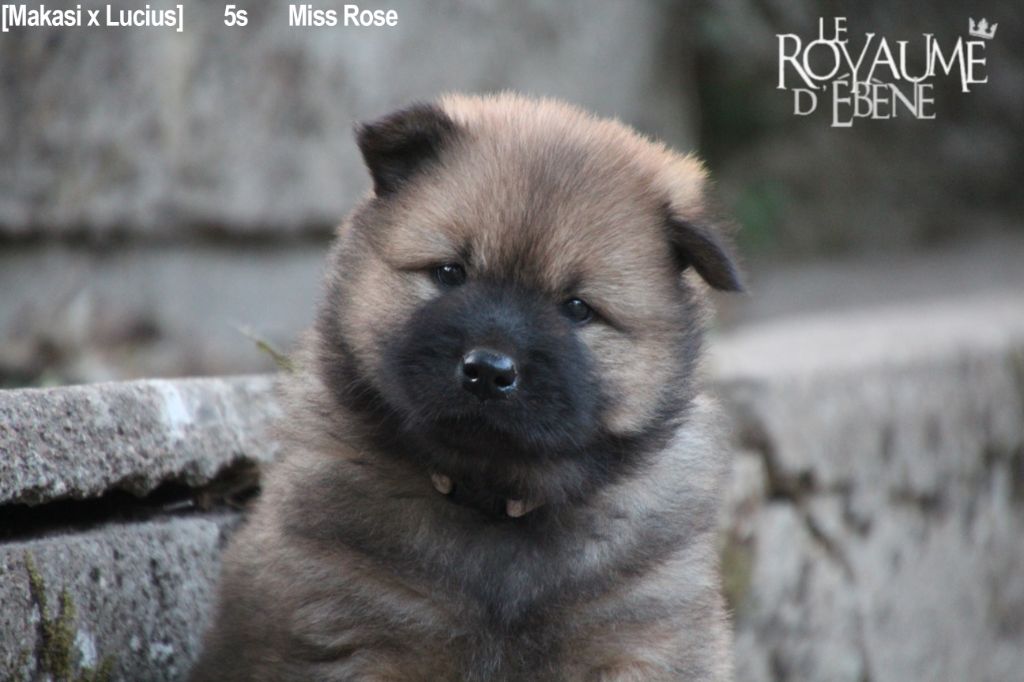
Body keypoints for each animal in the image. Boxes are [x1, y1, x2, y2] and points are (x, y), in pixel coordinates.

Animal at [190, 93, 742, 681]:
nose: (489, 371)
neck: (492, 503)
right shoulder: (356, 633)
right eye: (450, 273)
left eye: (576, 308)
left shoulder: (643, 639)